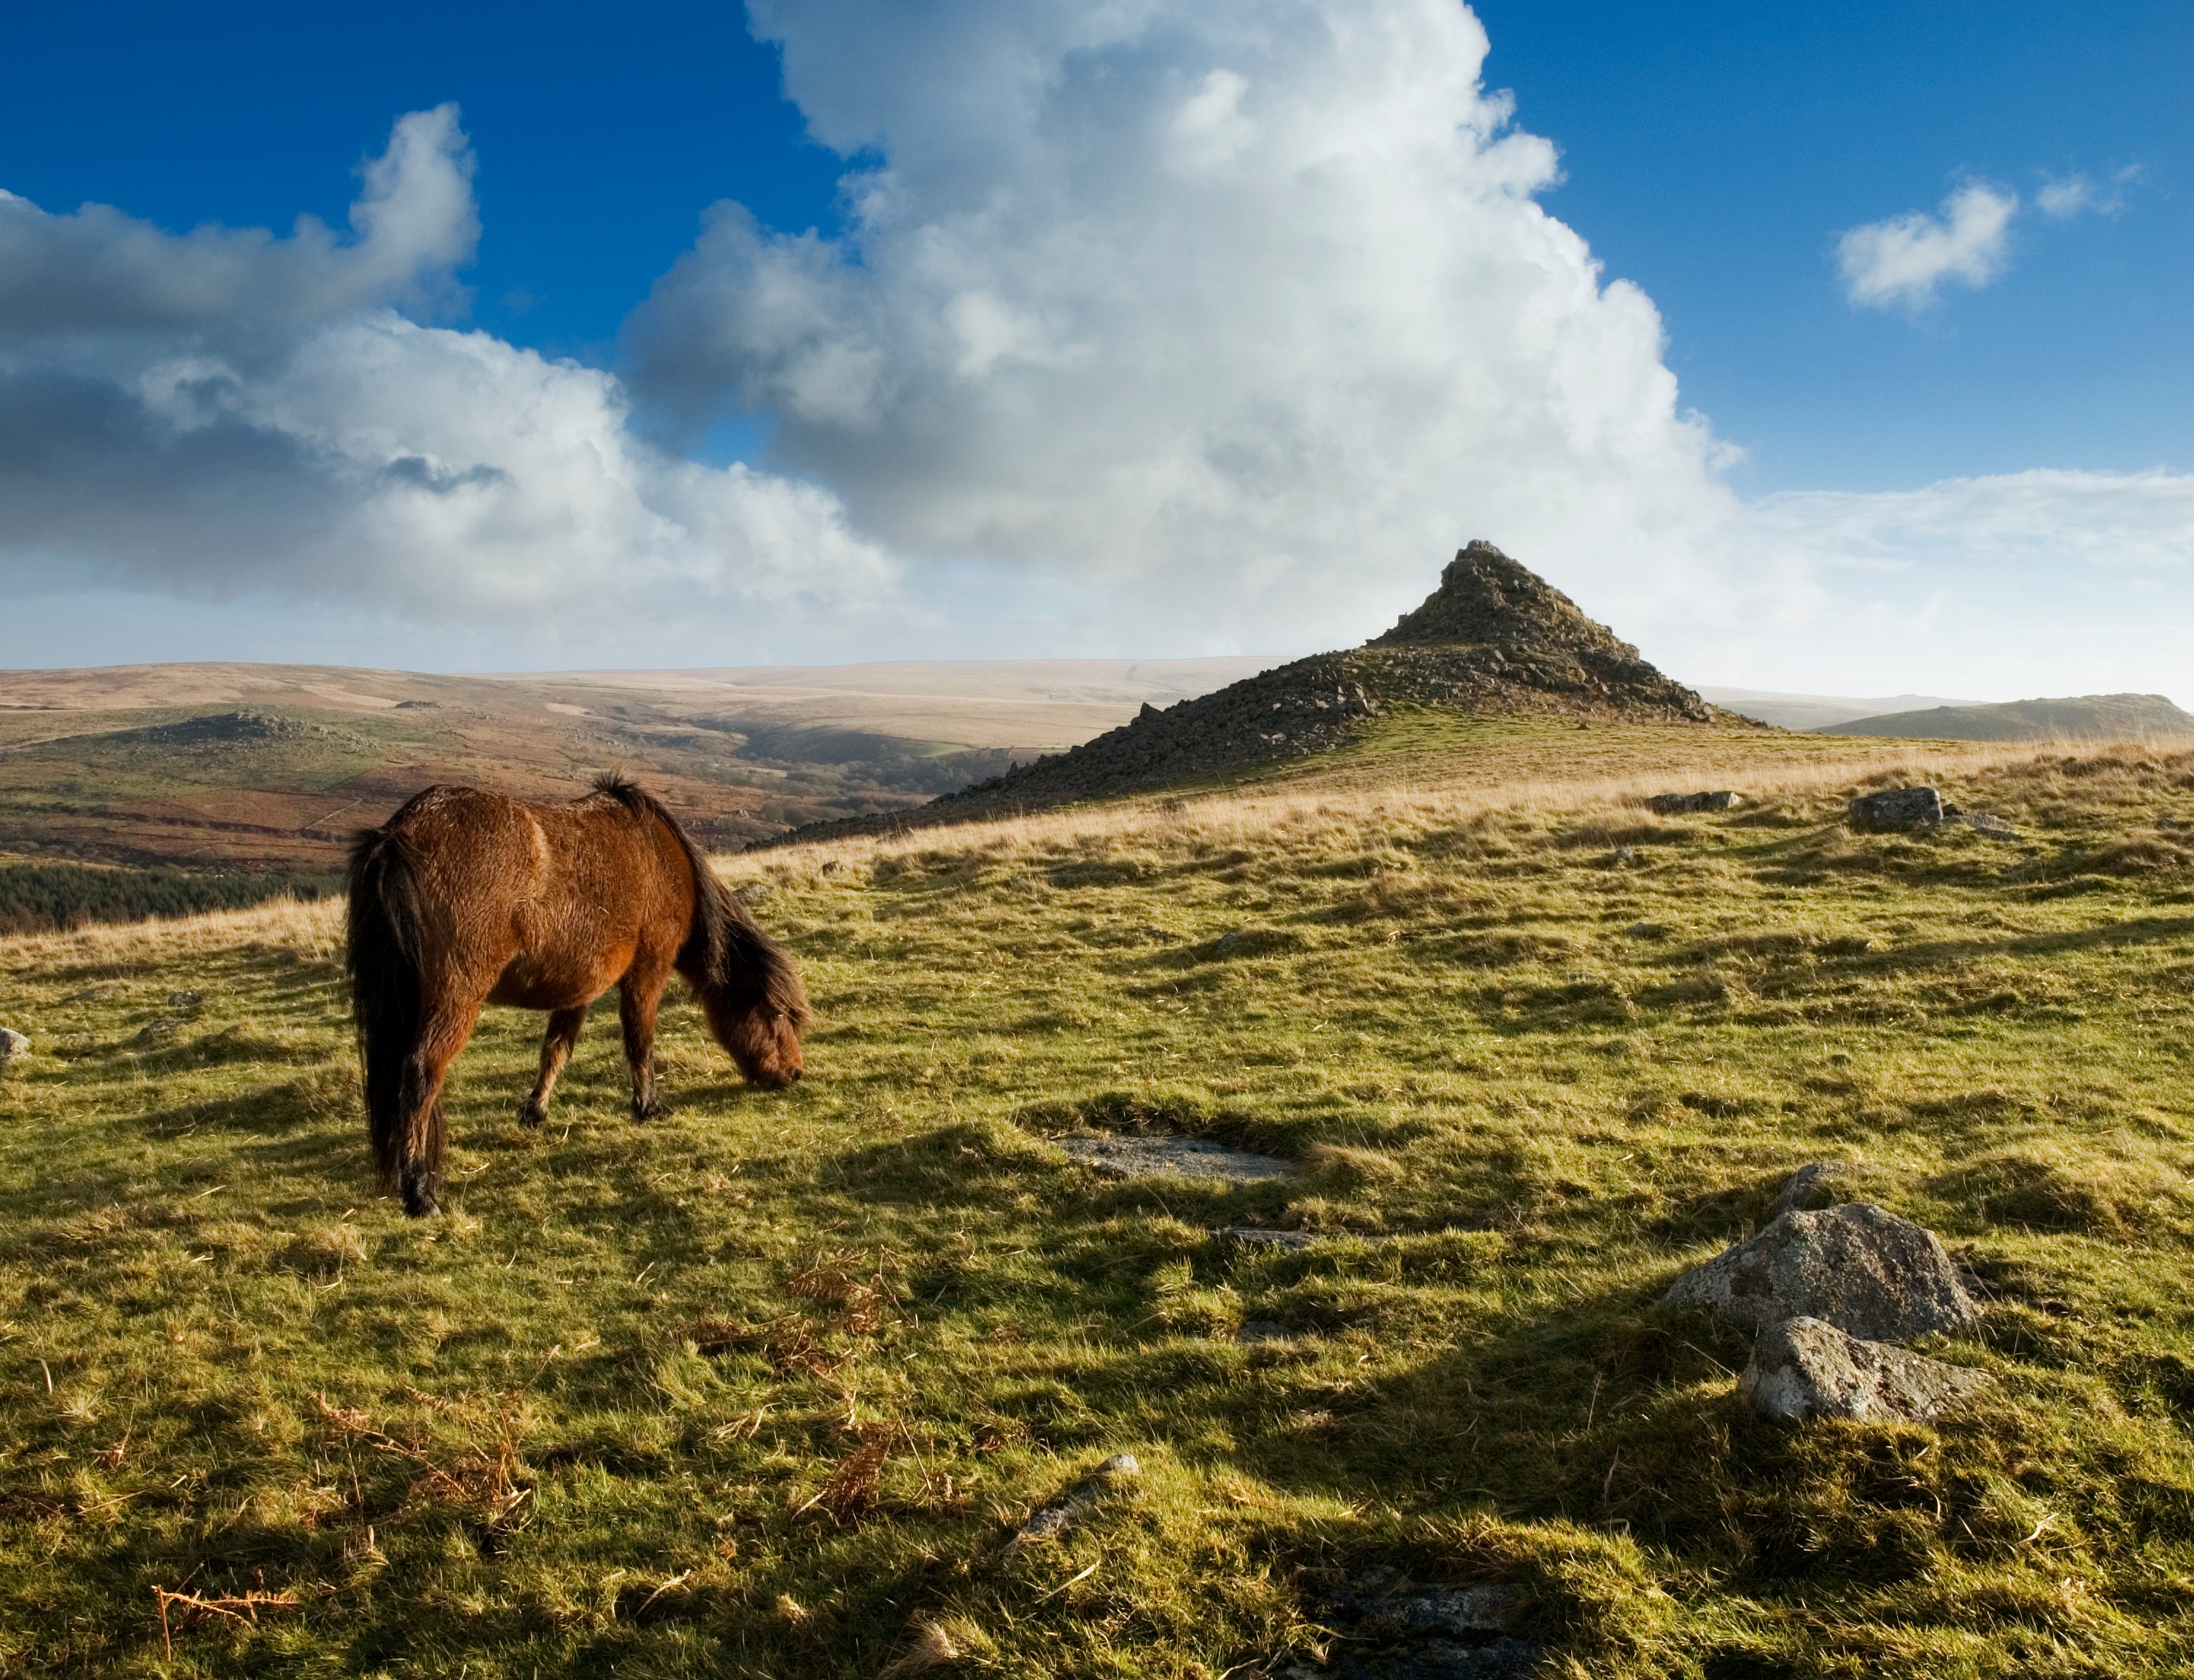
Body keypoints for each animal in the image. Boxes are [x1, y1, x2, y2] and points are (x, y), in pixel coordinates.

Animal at [344, 775, 810, 1216]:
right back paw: (419, 1192)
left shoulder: (579, 988)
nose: (794, 1073)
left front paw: (535, 1111)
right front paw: (649, 1106)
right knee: (420, 1074)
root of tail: (397, 836)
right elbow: (640, 1040)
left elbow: (556, 1049)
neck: (661, 857)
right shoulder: (648, 970)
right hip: (456, 998)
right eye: (777, 1014)